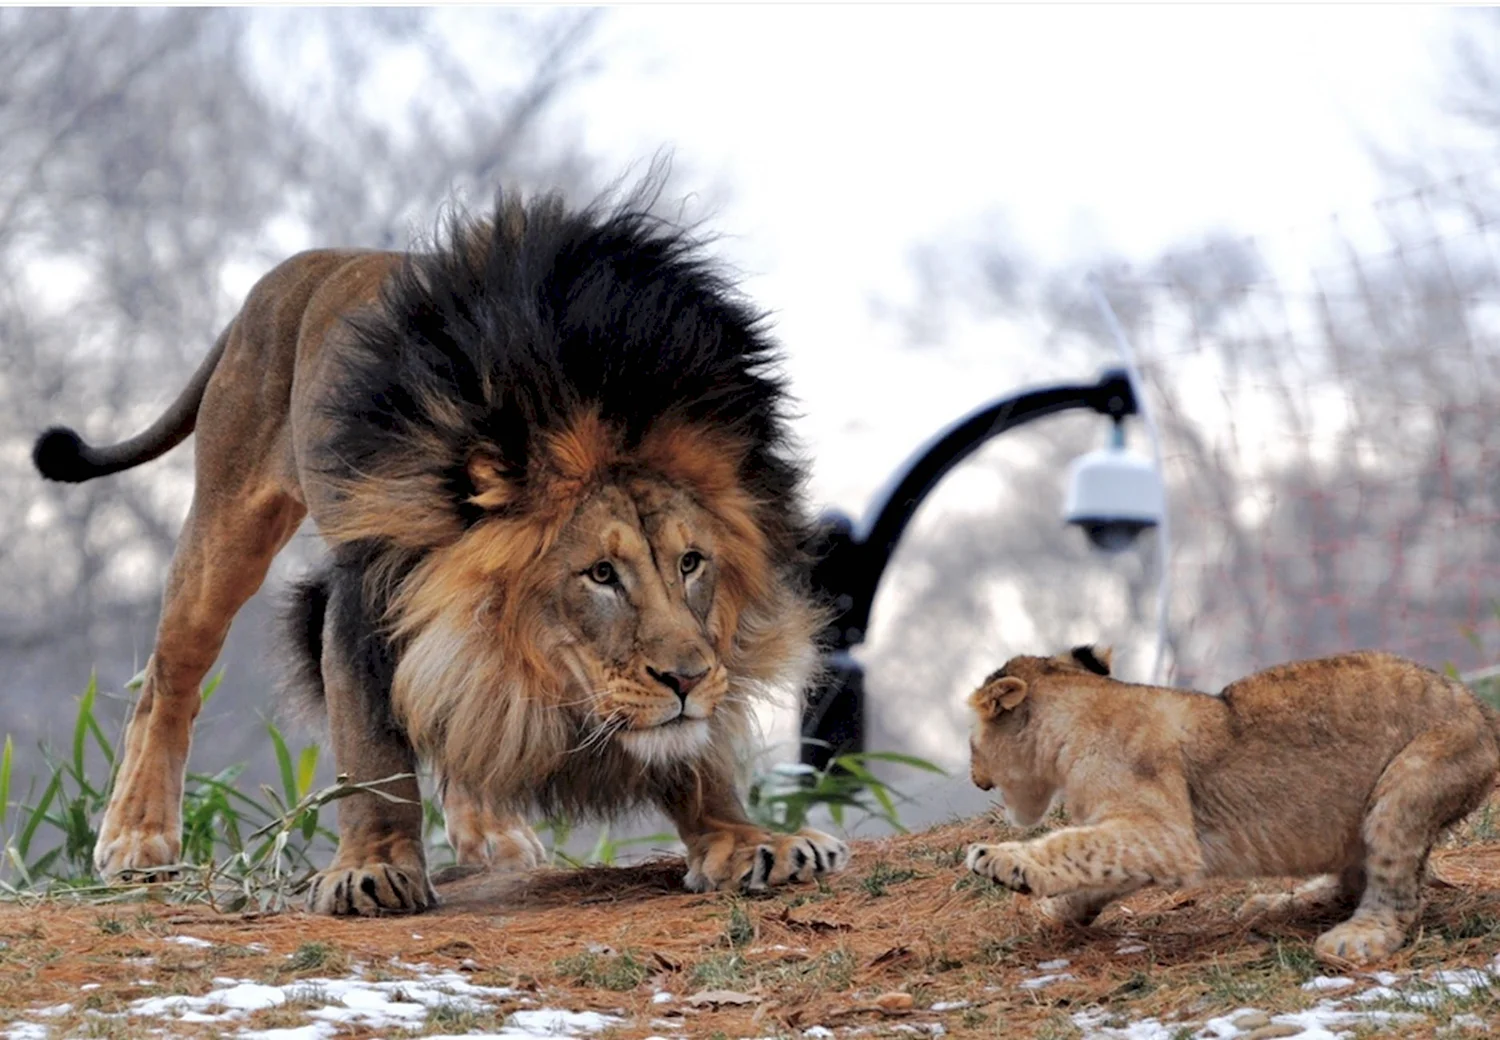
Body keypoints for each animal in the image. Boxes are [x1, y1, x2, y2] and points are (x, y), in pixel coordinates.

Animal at [32, 188, 846, 918]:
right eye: (601, 574)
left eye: (691, 562)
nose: (685, 678)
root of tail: (307, 265)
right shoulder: (365, 601)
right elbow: (373, 756)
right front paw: (371, 869)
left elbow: (689, 749)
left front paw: (747, 840)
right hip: (226, 521)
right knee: (168, 682)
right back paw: (137, 837)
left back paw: (492, 831)